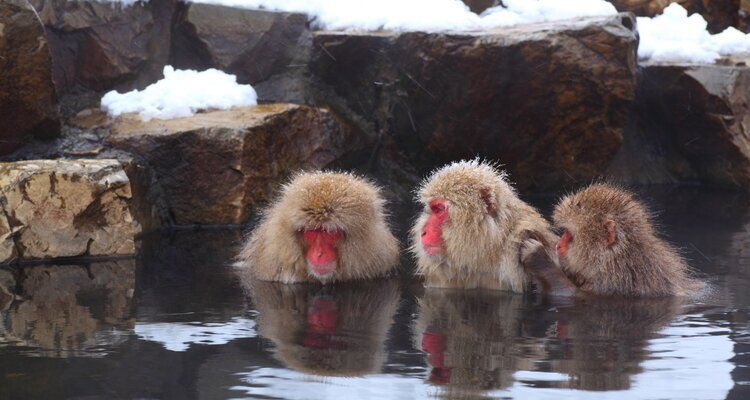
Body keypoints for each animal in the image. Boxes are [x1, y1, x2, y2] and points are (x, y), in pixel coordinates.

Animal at [520, 183, 703, 297]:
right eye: (563, 233)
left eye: (569, 235)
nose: (558, 245)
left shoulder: (616, 280)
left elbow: (571, 295)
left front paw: (539, 258)